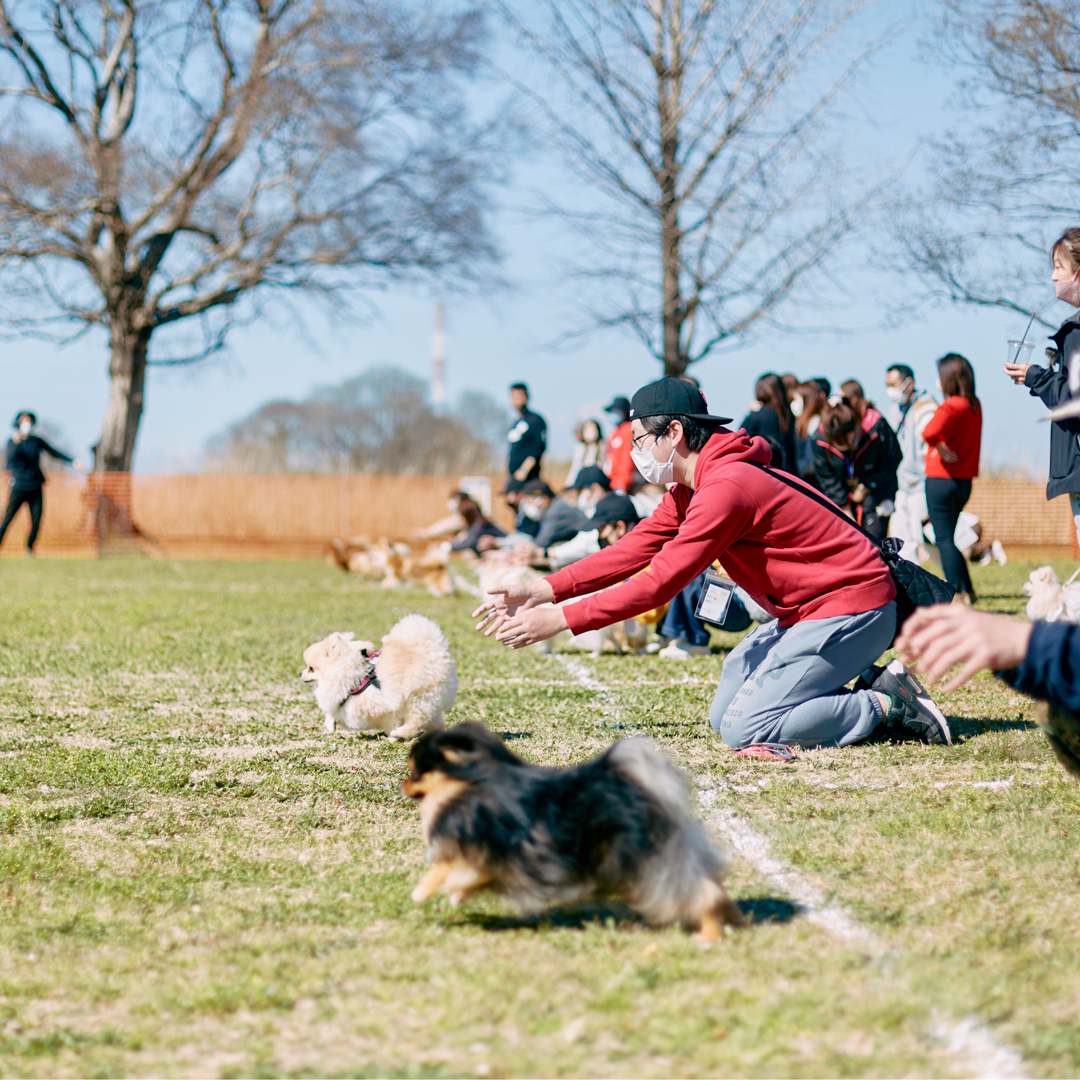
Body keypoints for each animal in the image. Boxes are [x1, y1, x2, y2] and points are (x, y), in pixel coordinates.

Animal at [302, 617, 457, 743]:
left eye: (311, 668)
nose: (300, 673)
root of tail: (437, 649)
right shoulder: (342, 700)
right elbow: (332, 712)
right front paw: (330, 724)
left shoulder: (383, 709)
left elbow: (390, 724)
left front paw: (392, 739)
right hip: (429, 701)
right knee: (435, 724)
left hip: (416, 698)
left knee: (417, 720)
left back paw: (399, 733)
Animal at [401, 721, 747, 941]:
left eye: (415, 773)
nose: (403, 784)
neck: (466, 783)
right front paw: (454, 896)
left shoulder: (482, 845)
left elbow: (444, 870)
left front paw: (423, 893)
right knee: (710, 886)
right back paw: (735, 919)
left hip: (647, 864)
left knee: (700, 894)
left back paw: (709, 936)